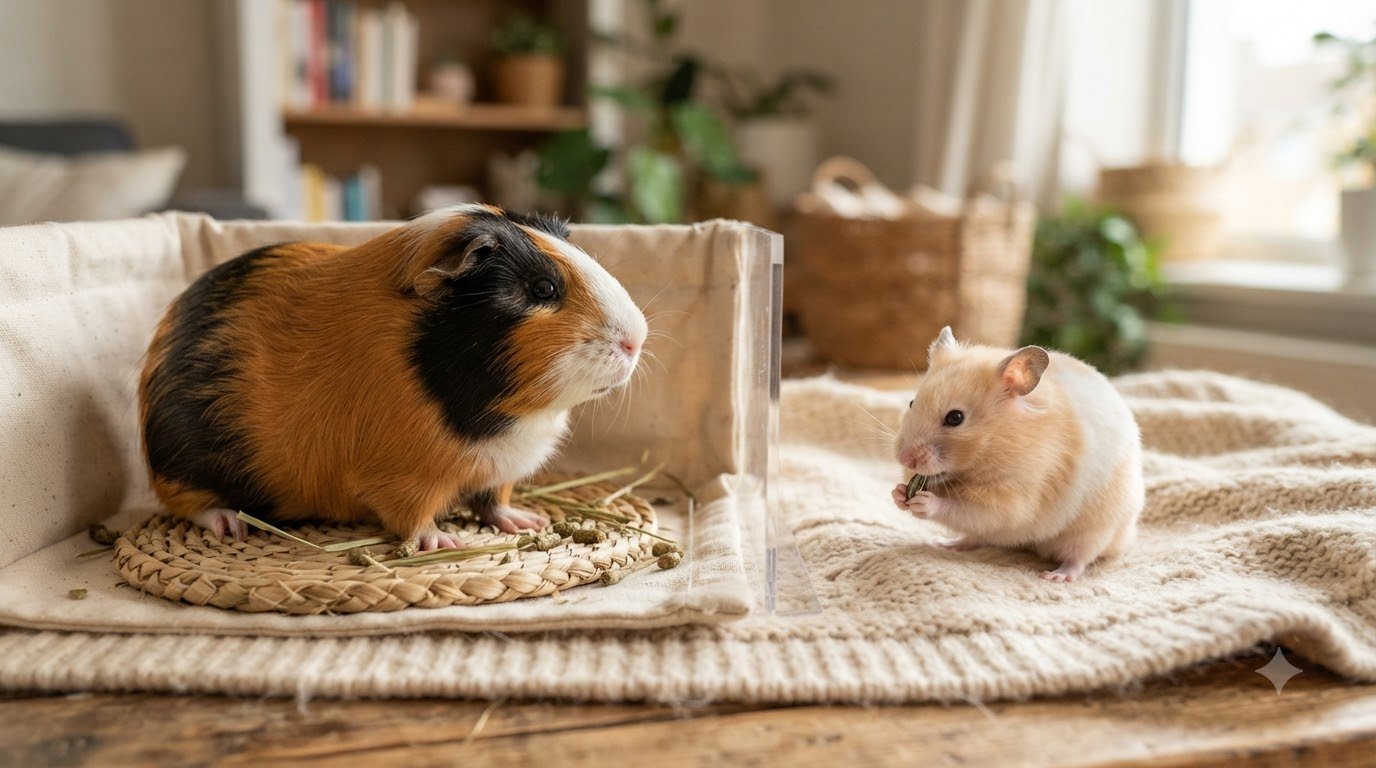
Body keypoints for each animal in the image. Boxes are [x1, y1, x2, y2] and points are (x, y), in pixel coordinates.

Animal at [139, 204, 647, 551]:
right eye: (542, 288)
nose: (635, 340)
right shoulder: (402, 478)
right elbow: (413, 517)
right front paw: (443, 543)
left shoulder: (495, 472)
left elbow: (494, 502)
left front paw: (526, 521)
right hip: (185, 467)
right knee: (187, 504)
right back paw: (232, 524)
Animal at [890, 326, 1142, 582]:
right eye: (912, 402)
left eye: (955, 418)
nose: (904, 458)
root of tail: (1128, 536)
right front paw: (898, 494)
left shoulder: (1015, 499)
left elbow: (967, 510)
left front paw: (922, 501)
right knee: (974, 537)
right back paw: (946, 543)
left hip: (1096, 529)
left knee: (1080, 557)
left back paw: (1055, 576)